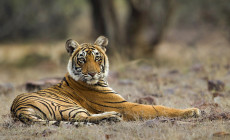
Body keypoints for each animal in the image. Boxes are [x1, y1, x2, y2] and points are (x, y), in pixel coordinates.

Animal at [10, 35, 200, 126]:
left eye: (97, 58)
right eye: (82, 60)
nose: (92, 73)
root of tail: (17, 109)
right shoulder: (124, 105)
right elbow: (158, 108)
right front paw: (192, 110)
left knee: (85, 118)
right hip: (67, 106)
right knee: (83, 118)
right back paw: (113, 116)